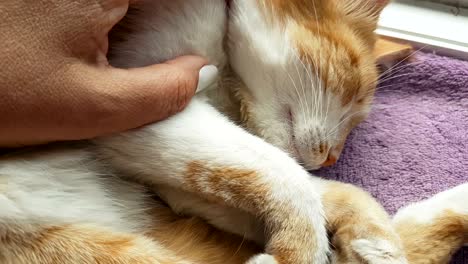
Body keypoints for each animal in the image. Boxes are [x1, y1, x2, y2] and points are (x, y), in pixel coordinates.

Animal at [1, 0, 466, 264]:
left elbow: (308, 186)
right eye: (352, 94)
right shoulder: (129, 105)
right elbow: (284, 175)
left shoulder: (165, 169)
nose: (334, 157)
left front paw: (365, 231)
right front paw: (298, 251)